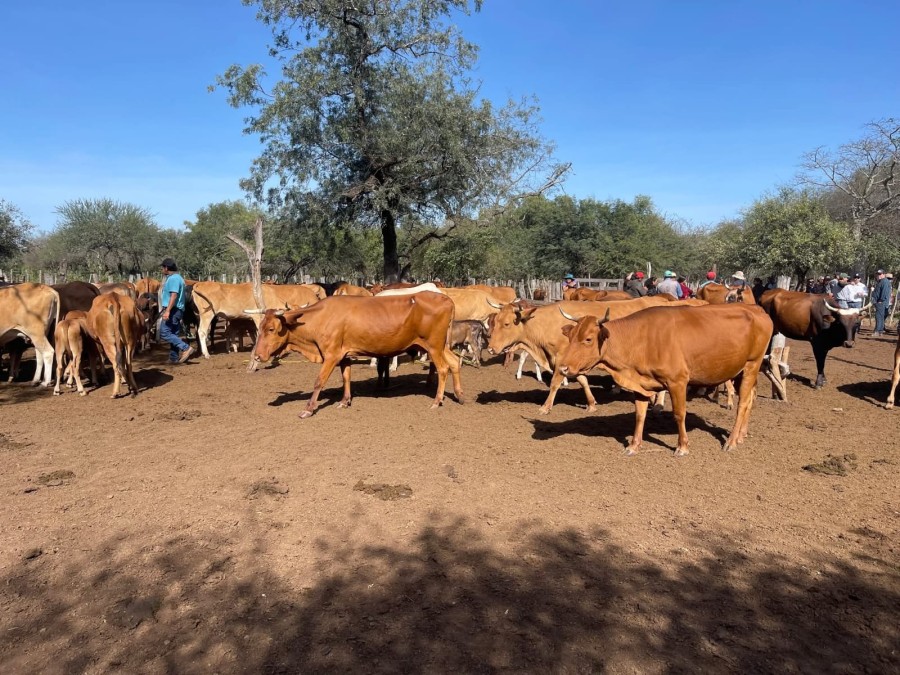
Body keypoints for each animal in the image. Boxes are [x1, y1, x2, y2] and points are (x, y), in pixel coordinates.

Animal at [190, 282, 321, 358]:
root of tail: (200, 284)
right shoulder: (258, 317)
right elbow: (259, 332)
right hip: (207, 314)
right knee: (202, 332)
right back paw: (206, 354)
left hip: (199, 316)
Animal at [249, 292, 464, 418]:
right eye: (259, 328)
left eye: (271, 329)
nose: (257, 356)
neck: (320, 318)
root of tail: (445, 299)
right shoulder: (343, 354)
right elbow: (346, 377)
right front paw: (345, 401)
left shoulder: (331, 355)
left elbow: (319, 381)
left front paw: (308, 408)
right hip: (440, 346)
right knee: (454, 362)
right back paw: (459, 395)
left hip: (434, 346)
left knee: (443, 368)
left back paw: (437, 401)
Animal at [557, 304, 773, 456]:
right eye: (571, 336)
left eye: (588, 339)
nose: (563, 367)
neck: (642, 339)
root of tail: (756, 309)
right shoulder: (641, 383)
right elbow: (639, 415)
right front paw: (634, 446)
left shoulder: (678, 382)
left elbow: (679, 414)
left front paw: (682, 447)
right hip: (740, 371)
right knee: (750, 399)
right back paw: (742, 435)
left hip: (752, 365)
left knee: (743, 403)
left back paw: (731, 441)